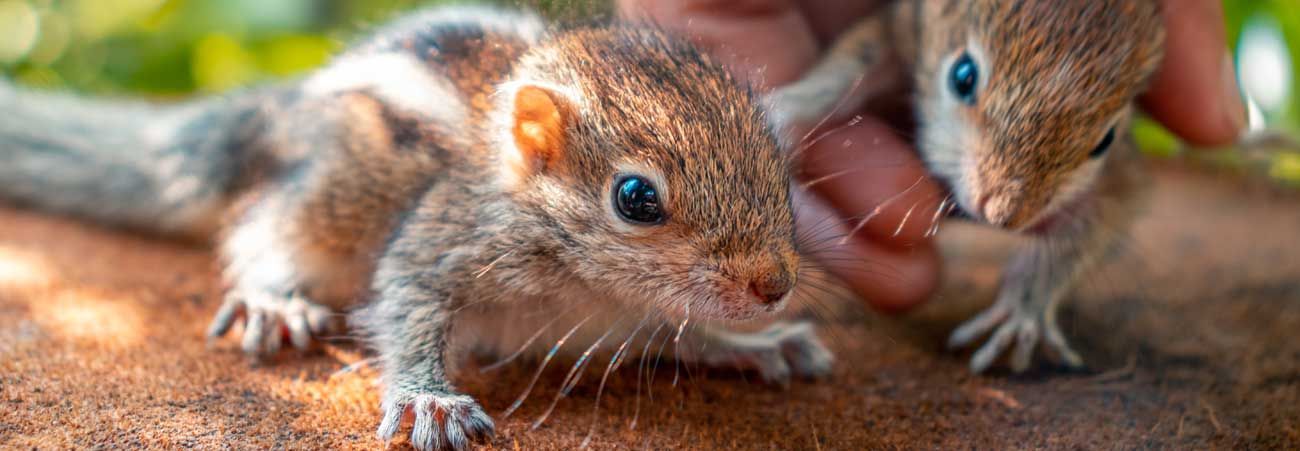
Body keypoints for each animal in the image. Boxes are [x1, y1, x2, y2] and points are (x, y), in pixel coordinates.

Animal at [0, 6, 834, 450]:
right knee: (259, 233)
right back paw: (273, 297)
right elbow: (405, 306)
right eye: (636, 198)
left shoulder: (635, 317)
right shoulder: (441, 243)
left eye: (778, 161)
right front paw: (431, 399)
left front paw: (758, 344)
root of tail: (279, 110)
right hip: (326, 199)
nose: (773, 285)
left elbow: (682, 334)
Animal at [767, 0, 1165, 373]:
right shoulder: (905, 23)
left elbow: (1090, 228)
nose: (1003, 215)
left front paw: (1023, 313)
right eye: (963, 76)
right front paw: (783, 113)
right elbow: (851, 63)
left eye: (1106, 140)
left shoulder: (1120, 176)